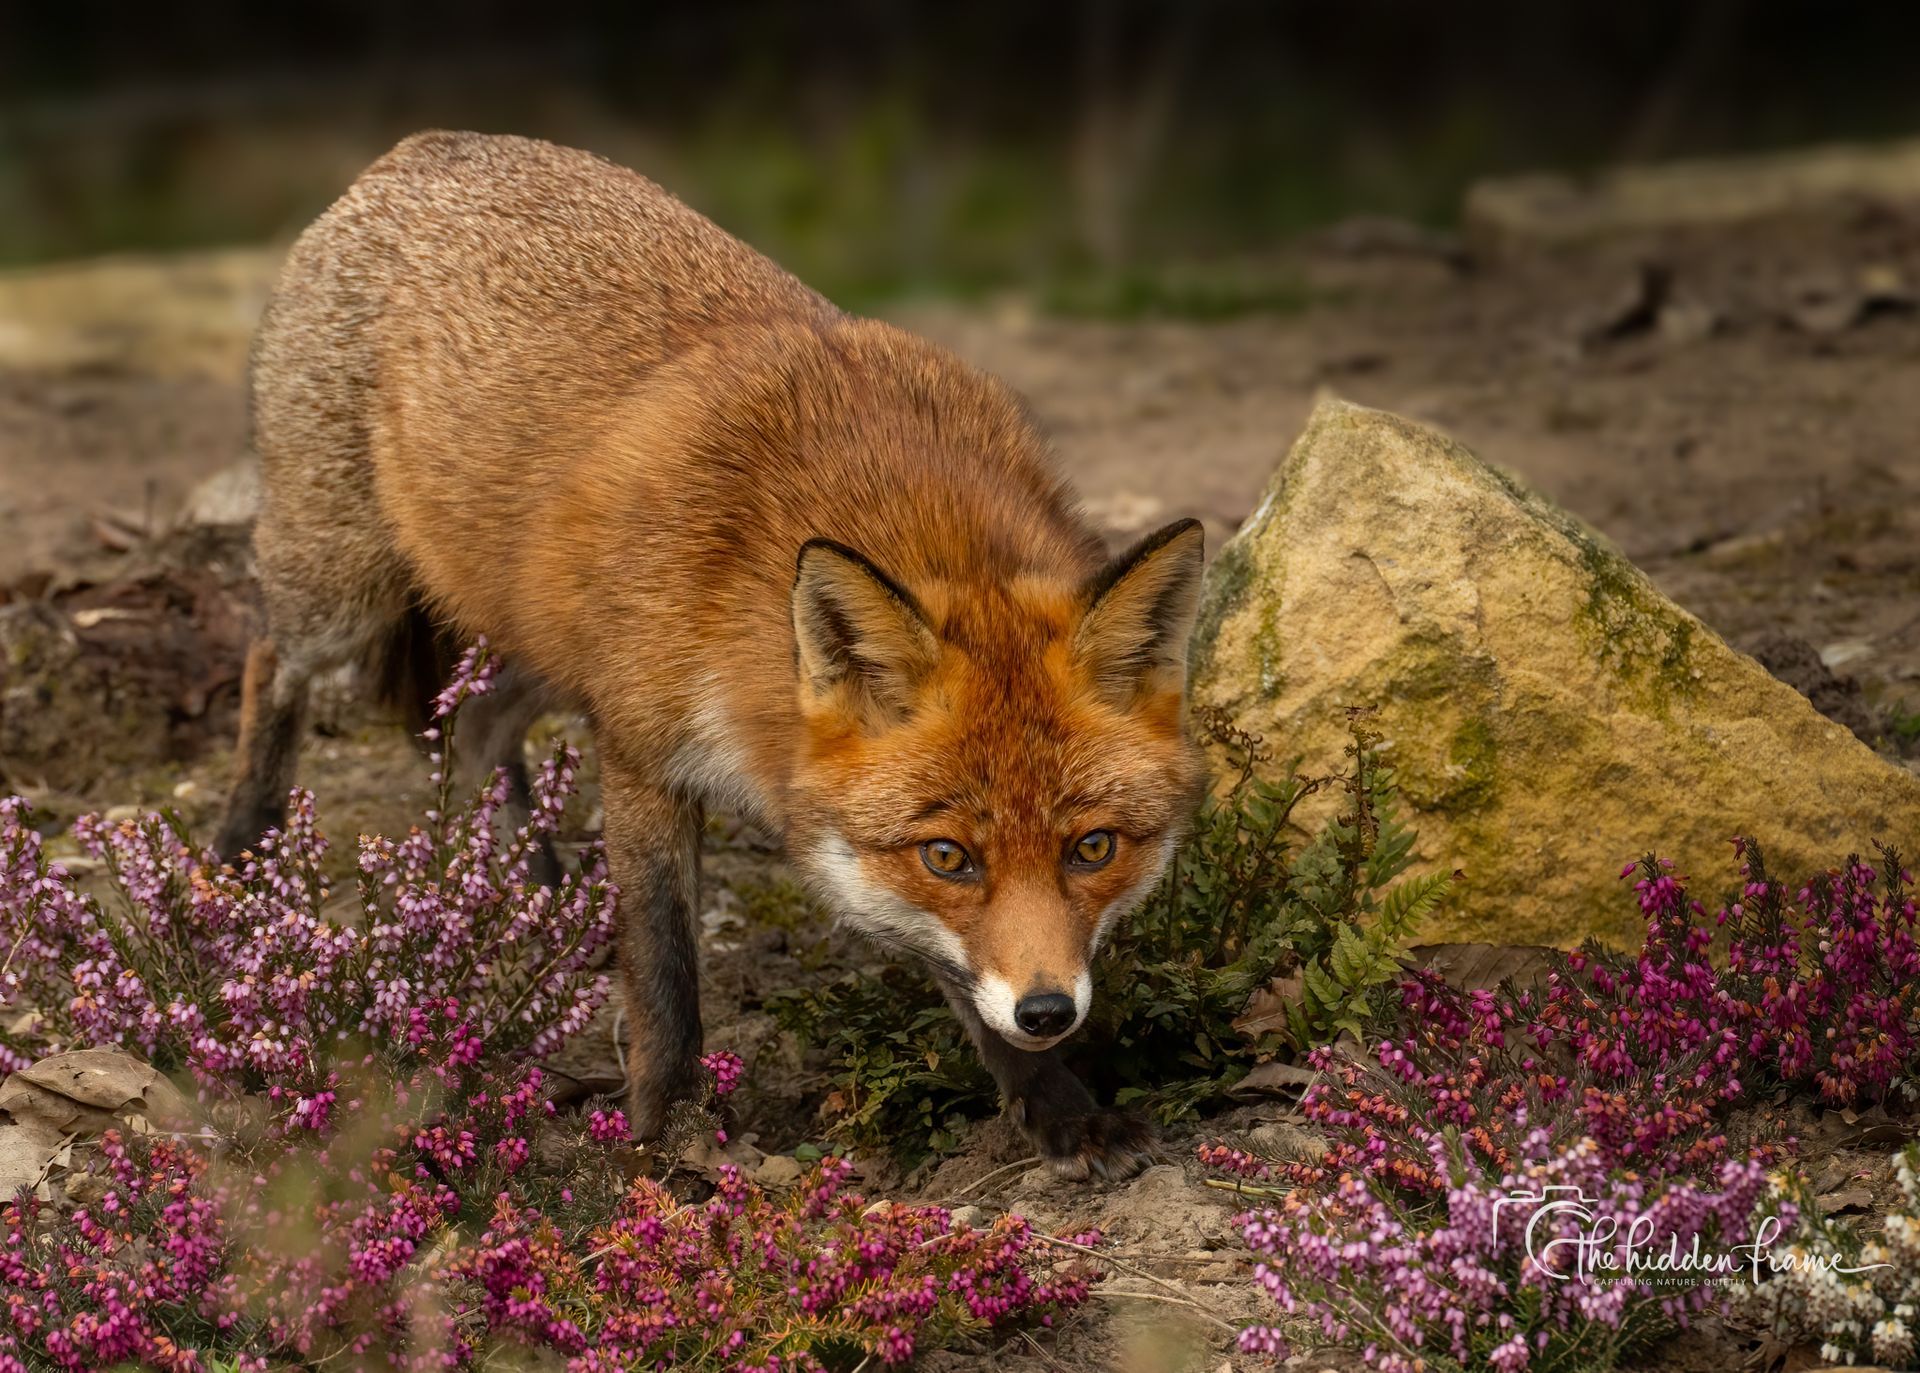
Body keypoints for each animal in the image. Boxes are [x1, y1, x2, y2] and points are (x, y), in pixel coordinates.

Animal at [216, 131, 1206, 1179]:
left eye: (1092, 847)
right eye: (950, 856)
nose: (1050, 1010)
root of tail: (424, 147)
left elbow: (963, 984)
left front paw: (1059, 1106)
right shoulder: (644, 752)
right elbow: (664, 968)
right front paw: (669, 1127)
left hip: (545, 638)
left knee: (478, 721)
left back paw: (540, 891)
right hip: (346, 591)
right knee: (268, 660)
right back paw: (244, 844)